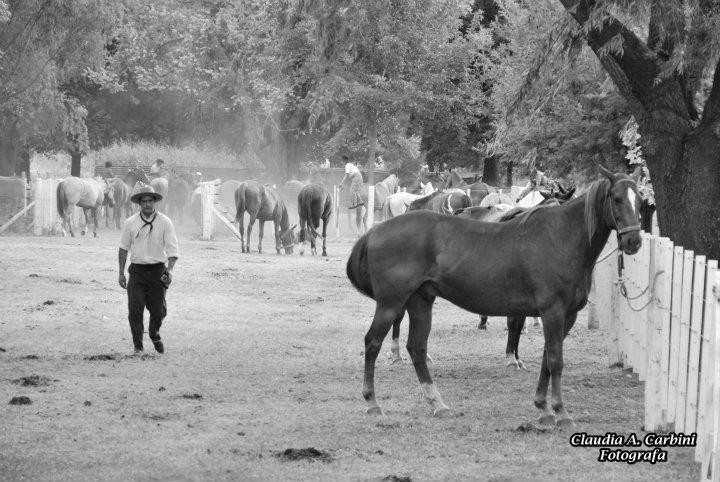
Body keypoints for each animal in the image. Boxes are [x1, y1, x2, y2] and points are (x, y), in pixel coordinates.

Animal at [344, 168, 640, 424]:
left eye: (640, 201)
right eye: (616, 199)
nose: (633, 242)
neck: (560, 239)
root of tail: (377, 230)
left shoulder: (566, 317)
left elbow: (547, 359)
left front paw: (542, 407)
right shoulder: (553, 313)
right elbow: (556, 361)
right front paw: (560, 412)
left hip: (420, 302)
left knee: (417, 348)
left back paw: (438, 404)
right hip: (391, 303)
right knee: (373, 343)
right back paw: (373, 402)